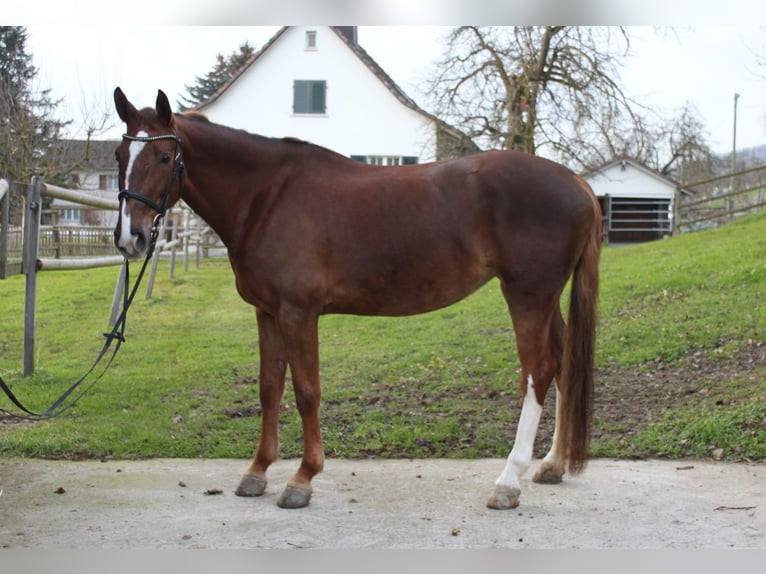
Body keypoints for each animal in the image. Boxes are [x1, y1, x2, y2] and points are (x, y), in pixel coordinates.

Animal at [114, 89, 604, 512]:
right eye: (121, 155)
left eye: (163, 156)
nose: (130, 238)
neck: (267, 196)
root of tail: (577, 182)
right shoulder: (267, 312)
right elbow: (269, 388)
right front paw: (256, 472)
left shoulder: (298, 313)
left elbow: (307, 391)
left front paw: (302, 479)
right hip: (546, 300)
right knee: (562, 366)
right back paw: (552, 465)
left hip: (528, 296)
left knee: (537, 374)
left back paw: (507, 482)